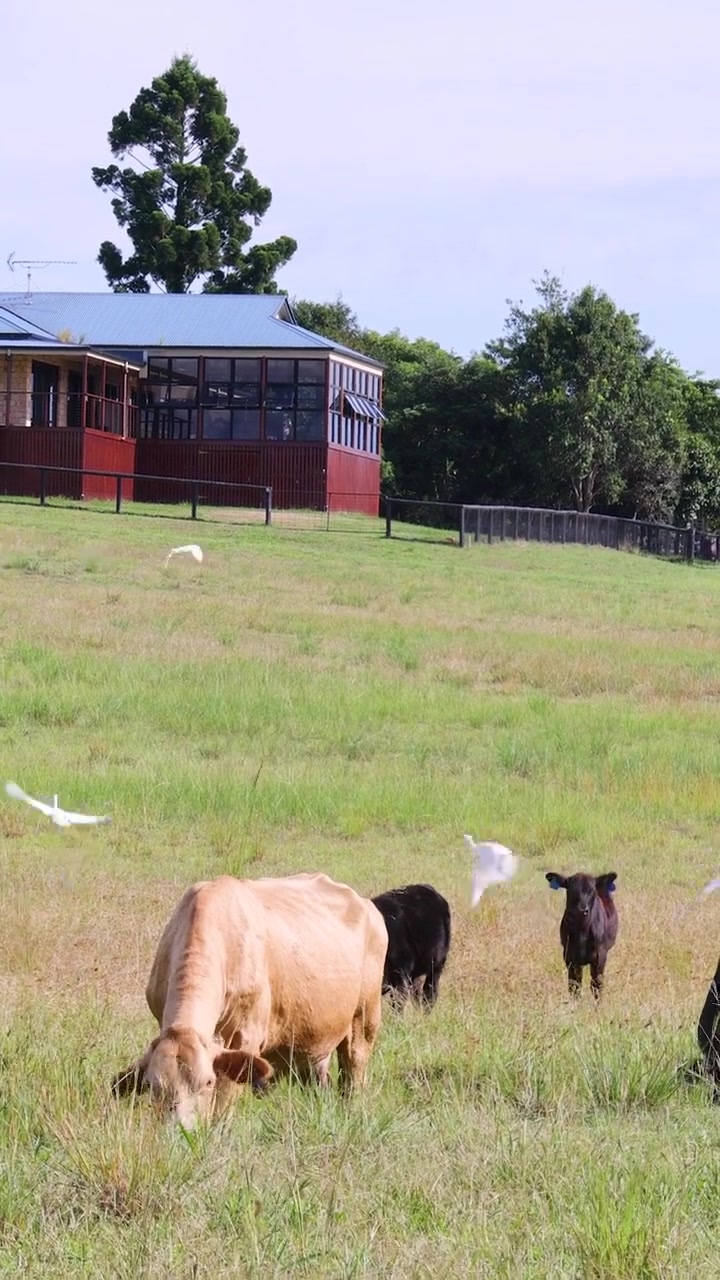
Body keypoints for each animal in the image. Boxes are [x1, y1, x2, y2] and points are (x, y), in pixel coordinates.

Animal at [112, 872, 388, 1127]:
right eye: (152, 1085)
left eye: (207, 1082)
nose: (180, 1129)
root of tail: (366, 904)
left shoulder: (245, 1037)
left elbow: (223, 1104)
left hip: (364, 1020)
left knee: (353, 1073)